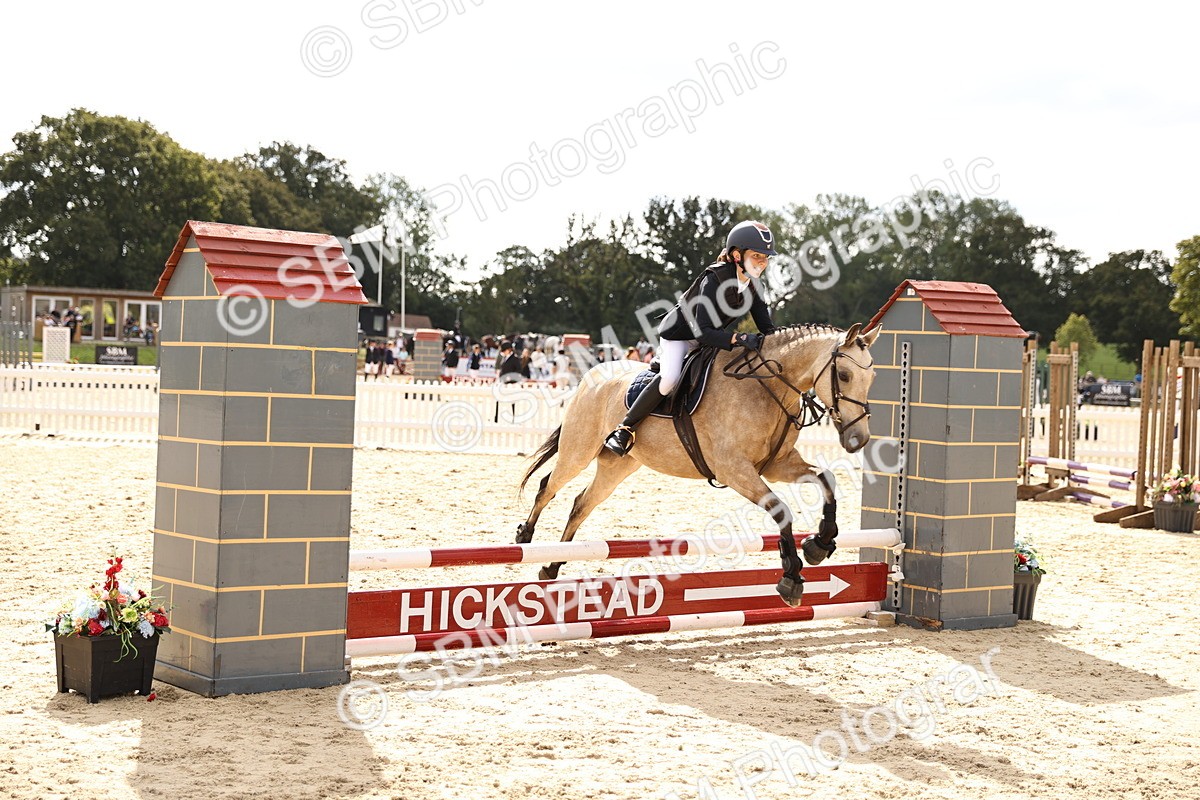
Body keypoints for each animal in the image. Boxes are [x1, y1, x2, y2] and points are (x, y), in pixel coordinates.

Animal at [515, 322, 881, 607]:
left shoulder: (778, 465)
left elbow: (827, 479)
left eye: (873, 376)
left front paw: (820, 543)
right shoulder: (734, 470)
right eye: (844, 375)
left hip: (618, 466)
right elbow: (781, 510)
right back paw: (524, 536)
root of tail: (592, 373)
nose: (858, 439)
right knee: (548, 486)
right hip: (579, 449)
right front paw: (792, 577)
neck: (768, 387)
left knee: (581, 504)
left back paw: (552, 566)